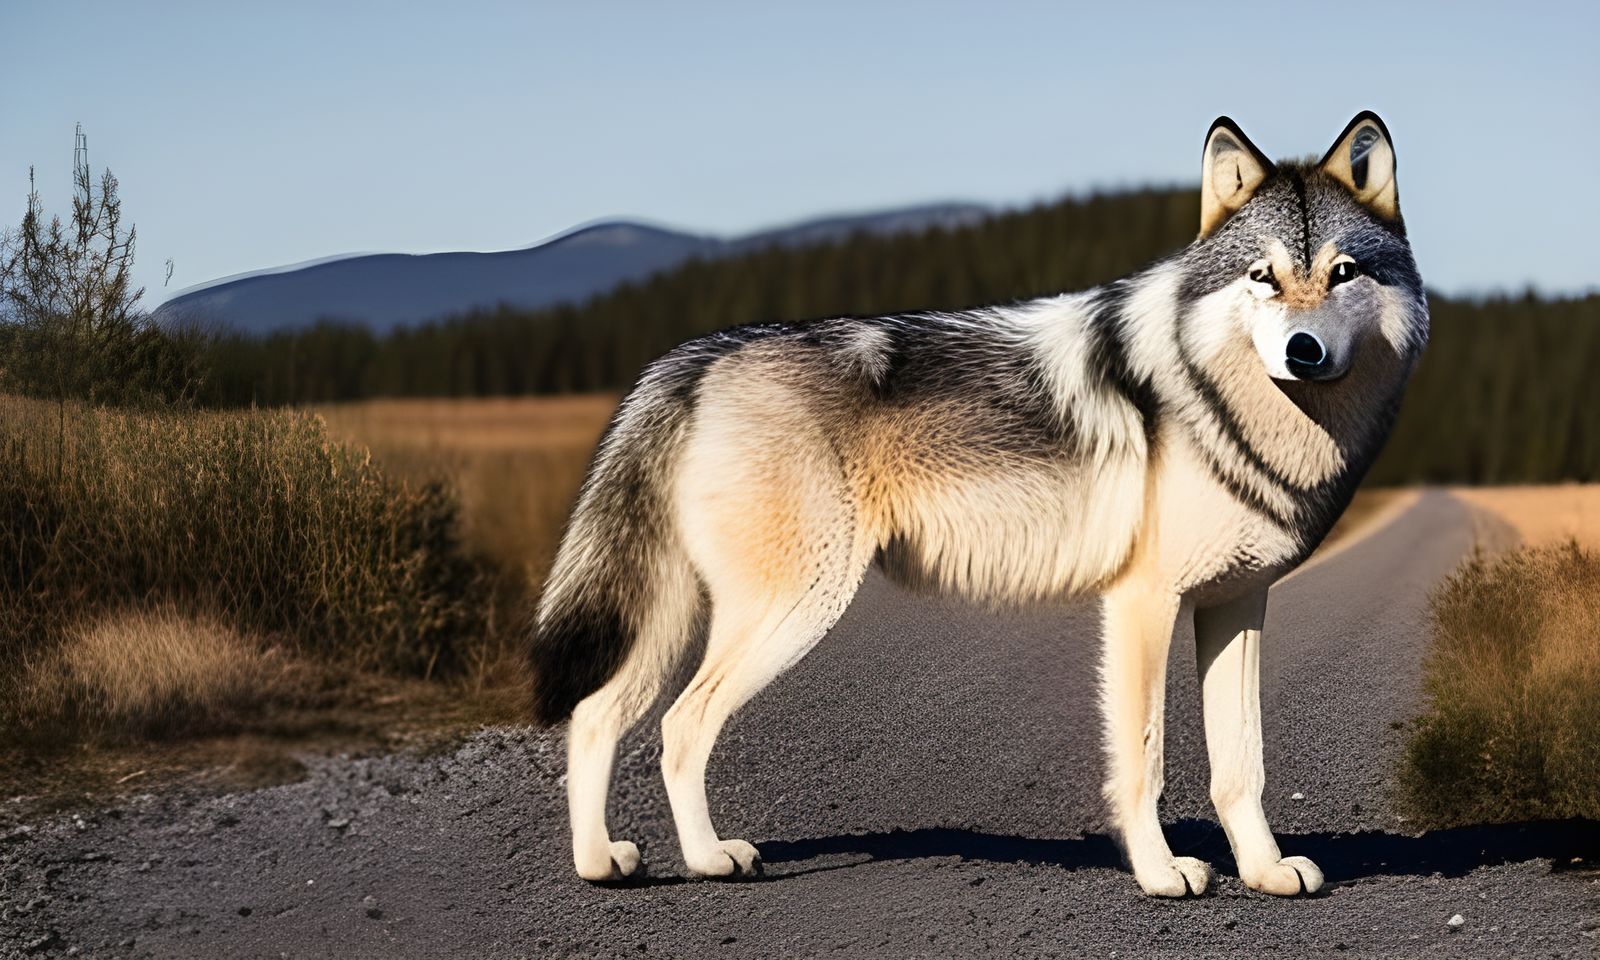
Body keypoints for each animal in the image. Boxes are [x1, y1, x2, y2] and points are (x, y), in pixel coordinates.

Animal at [529, 112, 1427, 897]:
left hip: (686, 611)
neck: (1233, 413)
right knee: (677, 726)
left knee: (596, 715)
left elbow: (1243, 763)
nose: (1302, 351)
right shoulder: (1142, 603)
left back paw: (600, 863)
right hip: (791, 607)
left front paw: (1268, 873)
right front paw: (1162, 874)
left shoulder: (1235, 603)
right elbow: (1144, 757)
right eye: (1262, 277)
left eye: (1343, 272)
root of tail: (696, 355)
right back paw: (710, 859)